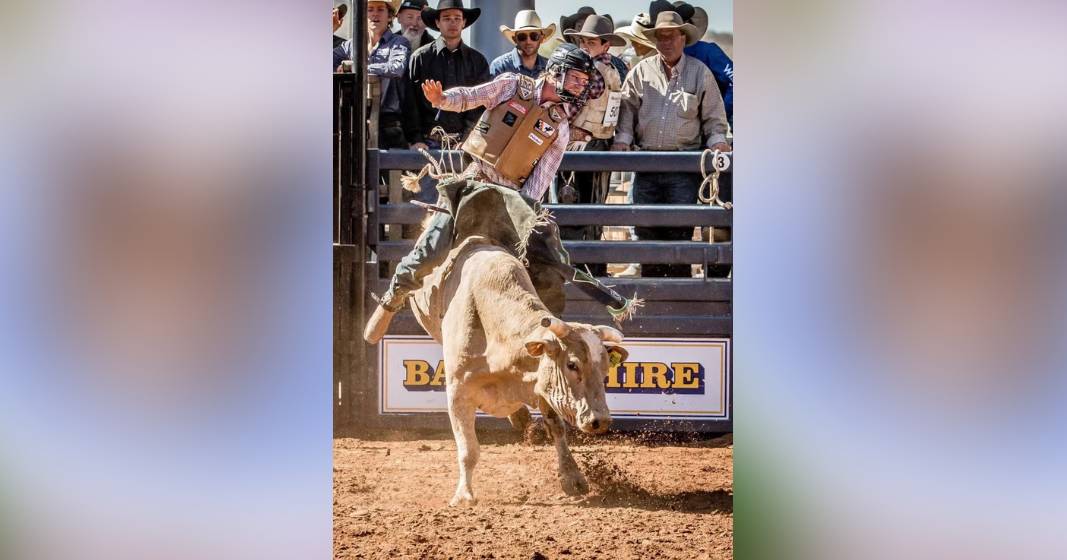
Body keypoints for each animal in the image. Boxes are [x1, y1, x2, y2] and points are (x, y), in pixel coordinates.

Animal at [405, 181, 623, 503]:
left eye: (606, 369)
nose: (601, 421)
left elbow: (557, 427)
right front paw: (464, 495)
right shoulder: (457, 393)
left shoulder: (541, 381)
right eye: (571, 364)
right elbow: (468, 449)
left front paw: (573, 478)